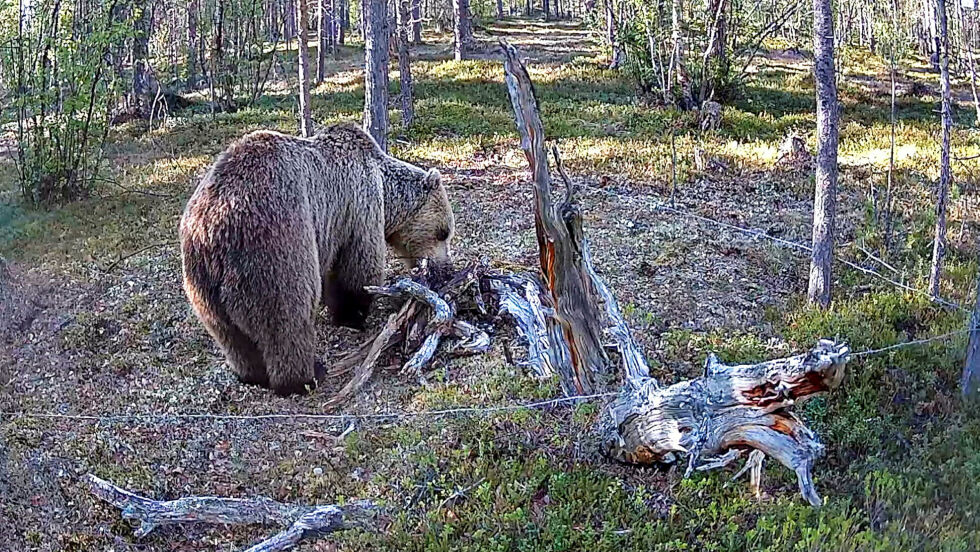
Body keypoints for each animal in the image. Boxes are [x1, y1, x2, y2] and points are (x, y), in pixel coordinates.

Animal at [180, 123, 456, 394]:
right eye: (443, 232)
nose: (445, 268)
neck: (387, 193)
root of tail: (211, 229)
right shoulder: (358, 205)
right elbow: (358, 266)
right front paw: (352, 314)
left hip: (202, 282)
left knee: (229, 334)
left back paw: (252, 374)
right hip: (274, 247)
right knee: (286, 319)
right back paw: (305, 377)